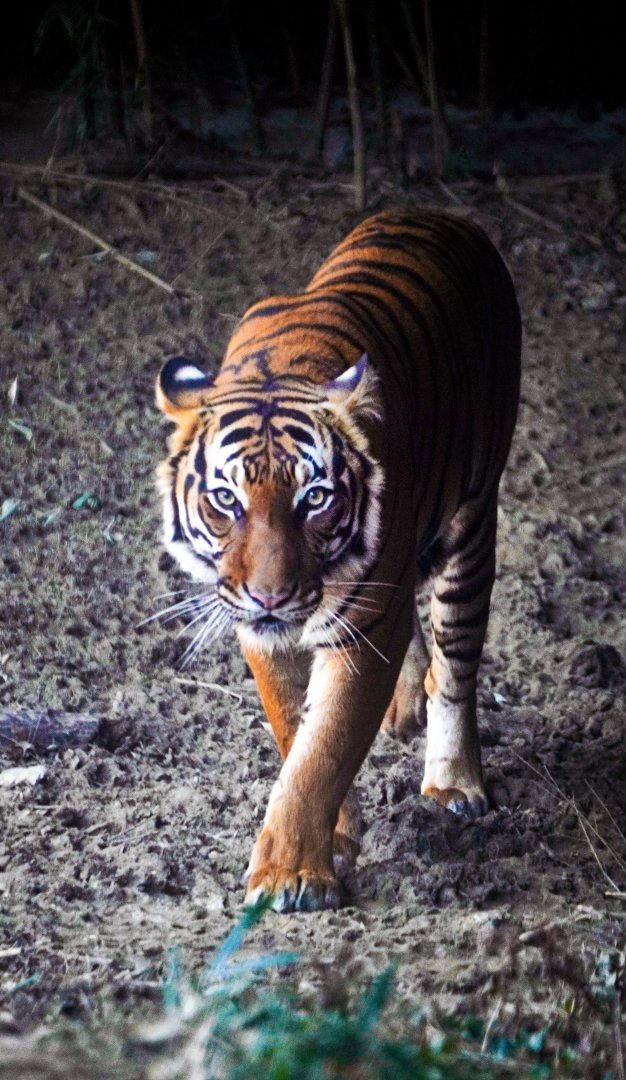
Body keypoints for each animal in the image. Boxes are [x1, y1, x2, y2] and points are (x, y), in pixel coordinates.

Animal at [155, 210, 521, 913]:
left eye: (315, 498)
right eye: (226, 499)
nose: (270, 595)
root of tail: (444, 216)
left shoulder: (360, 624)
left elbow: (323, 749)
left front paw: (290, 876)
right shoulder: (262, 633)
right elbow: (296, 731)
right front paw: (336, 840)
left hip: (470, 521)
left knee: (456, 664)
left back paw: (455, 783)